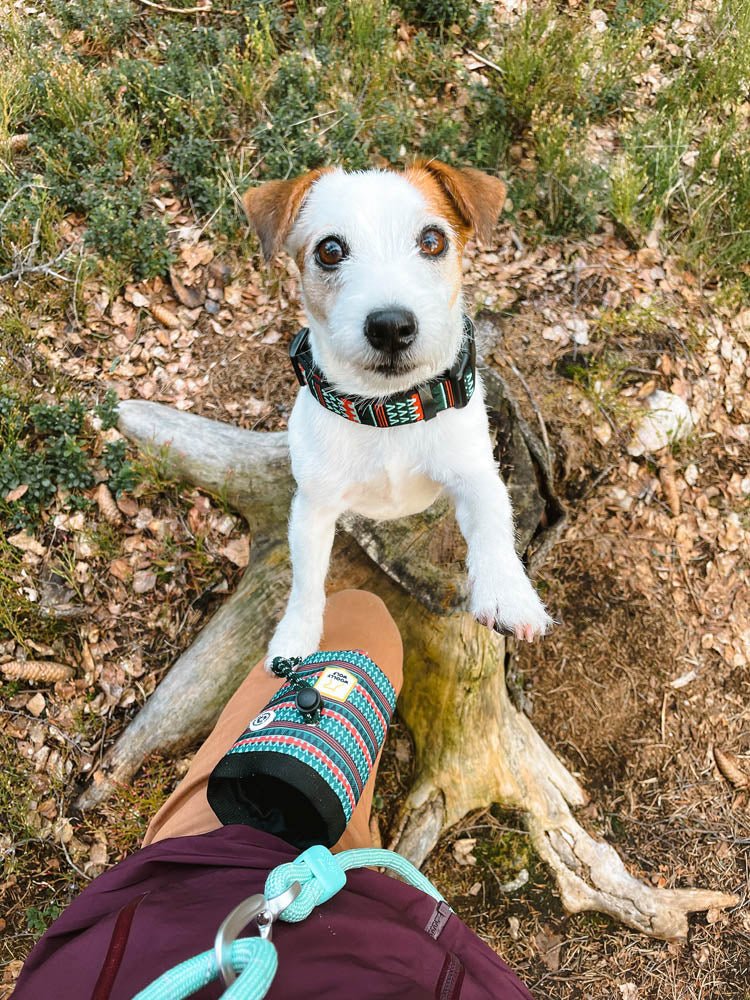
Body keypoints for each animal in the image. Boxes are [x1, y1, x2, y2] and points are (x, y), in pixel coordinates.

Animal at [244, 160, 556, 668]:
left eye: (432, 240)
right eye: (330, 250)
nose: (391, 326)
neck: (389, 411)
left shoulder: (476, 474)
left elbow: (493, 523)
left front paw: (507, 592)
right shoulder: (313, 507)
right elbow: (306, 581)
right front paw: (295, 637)